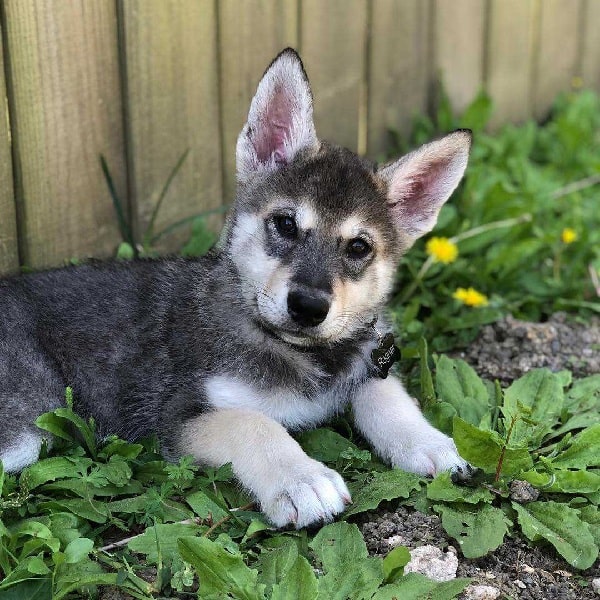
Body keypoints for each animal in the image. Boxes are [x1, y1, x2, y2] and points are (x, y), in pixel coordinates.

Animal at [0, 49, 474, 528]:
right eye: (285, 223)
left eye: (359, 247)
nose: (308, 306)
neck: (300, 354)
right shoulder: (182, 413)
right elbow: (253, 423)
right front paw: (302, 479)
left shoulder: (368, 360)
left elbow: (386, 390)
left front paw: (426, 441)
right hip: (29, 420)